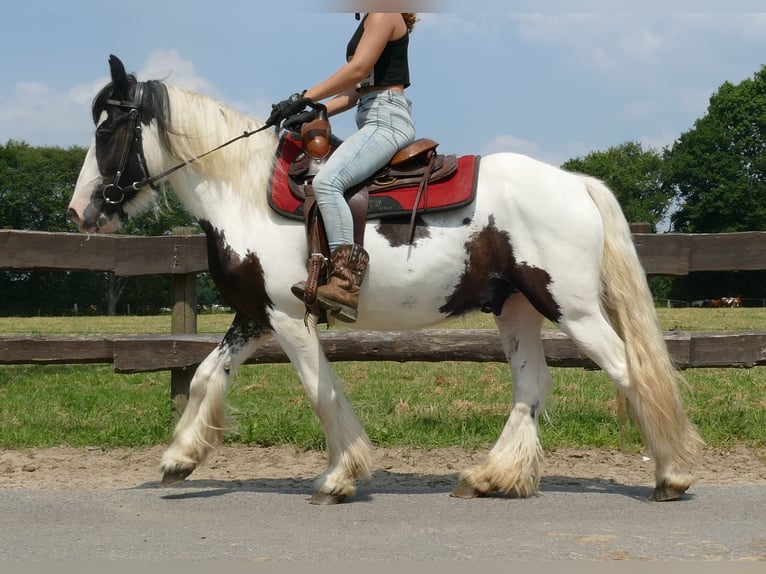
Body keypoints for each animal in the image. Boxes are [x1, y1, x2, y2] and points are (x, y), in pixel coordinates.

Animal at [69, 54, 704, 504]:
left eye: (106, 130)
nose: (81, 211)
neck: (243, 193)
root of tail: (577, 183)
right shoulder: (254, 315)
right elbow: (204, 376)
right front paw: (179, 458)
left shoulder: (288, 317)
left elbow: (319, 391)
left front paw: (338, 477)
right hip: (517, 306)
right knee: (531, 385)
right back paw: (491, 477)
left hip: (570, 306)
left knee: (628, 370)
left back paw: (671, 475)